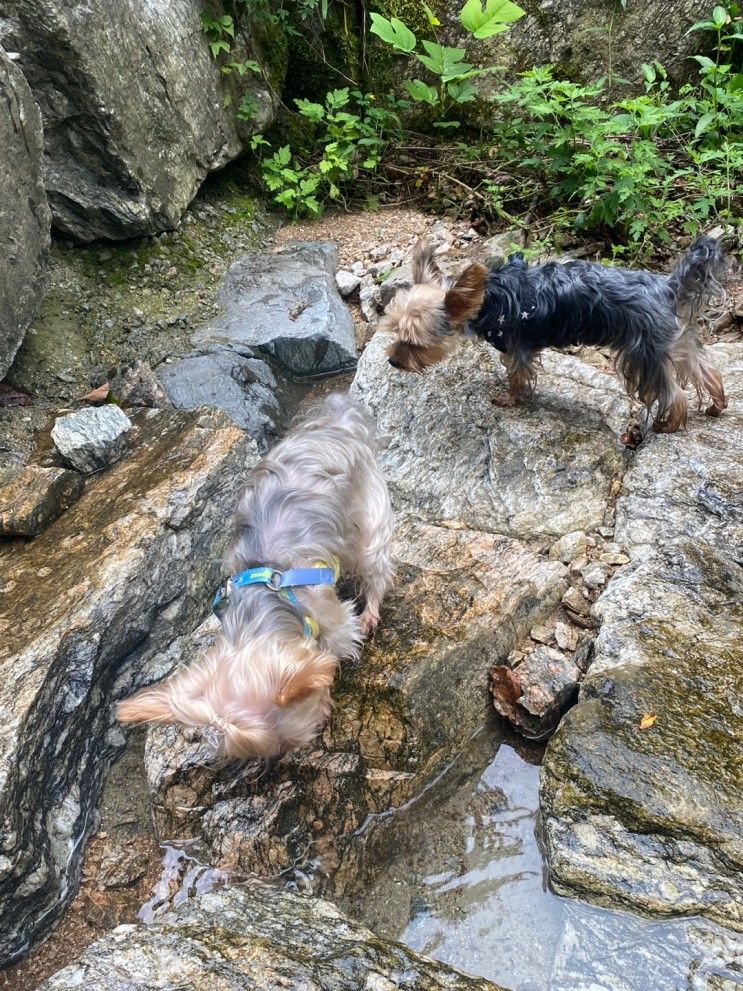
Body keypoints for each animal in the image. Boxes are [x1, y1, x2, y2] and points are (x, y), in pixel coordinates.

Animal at [117, 396, 396, 760]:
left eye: (293, 741)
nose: (286, 753)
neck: (262, 601)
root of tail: (339, 420)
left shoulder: (331, 618)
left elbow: (332, 650)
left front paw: (324, 689)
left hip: (368, 510)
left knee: (375, 564)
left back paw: (371, 610)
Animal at [384, 238, 728, 432]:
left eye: (414, 344)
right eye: (394, 332)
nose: (391, 361)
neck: (488, 300)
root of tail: (667, 287)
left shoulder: (518, 346)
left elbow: (516, 374)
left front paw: (509, 399)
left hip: (644, 352)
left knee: (673, 392)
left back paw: (669, 424)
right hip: (676, 341)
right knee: (705, 370)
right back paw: (716, 405)